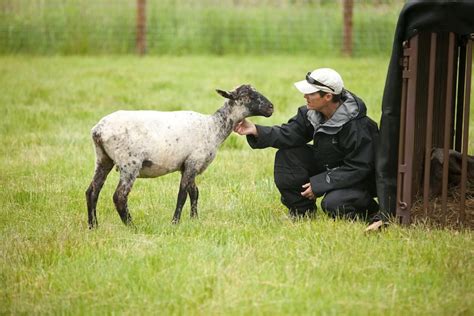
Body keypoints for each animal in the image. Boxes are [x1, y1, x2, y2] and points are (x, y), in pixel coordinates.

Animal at [85, 84, 274, 227]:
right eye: (247, 95)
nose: (271, 107)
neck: (213, 127)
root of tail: (98, 130)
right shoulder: (193, 161)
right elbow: (182, 194)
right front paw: (175, 222)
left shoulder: (188, 165)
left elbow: (194, 192)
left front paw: (194, 219)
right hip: (129, 163)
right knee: (119, 196)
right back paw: (132, 226)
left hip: (103, 158)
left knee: (92, 191)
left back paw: (93, 225)